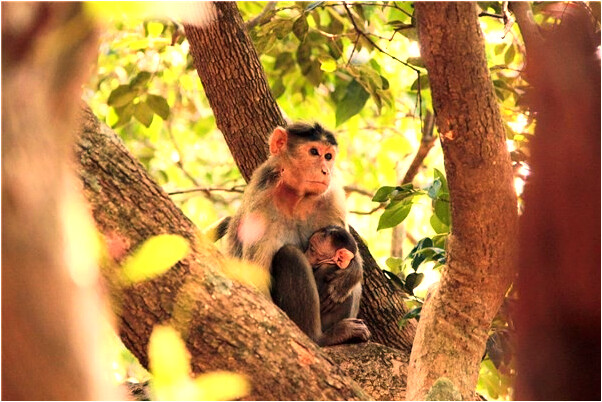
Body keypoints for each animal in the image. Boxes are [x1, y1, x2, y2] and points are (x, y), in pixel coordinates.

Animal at [223, 121, 368, 346]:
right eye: (314, 152)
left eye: (328, 156)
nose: (325, 171)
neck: (295, 199)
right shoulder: (259, 209)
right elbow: (257, 282)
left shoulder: (331, 197)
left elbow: (349, 247)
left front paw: (348, 275)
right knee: (289, 255)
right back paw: (321, 338)